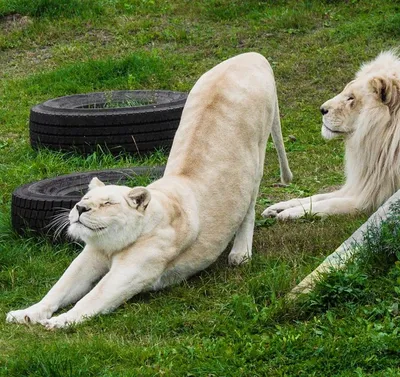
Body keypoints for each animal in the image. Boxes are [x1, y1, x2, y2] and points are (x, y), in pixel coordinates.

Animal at [7, 51, 290, 328]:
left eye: (107, 203)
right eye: (84, 197)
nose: (79, 208)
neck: (114, 244)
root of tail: (249, 54)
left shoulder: (130, 272)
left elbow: (93, 297)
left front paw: (61, 321)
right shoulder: (89, 257)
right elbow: (58, 288)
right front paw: (27, 313)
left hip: (258, 157)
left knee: (249, 208)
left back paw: (240, 254)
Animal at [262, 51, 400, 219]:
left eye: (351, 98)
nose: (322, 109)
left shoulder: (372, 198)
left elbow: (329, 203)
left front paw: (289, 213)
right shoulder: (362, 185)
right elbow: (318, 197)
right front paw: (277, 207)